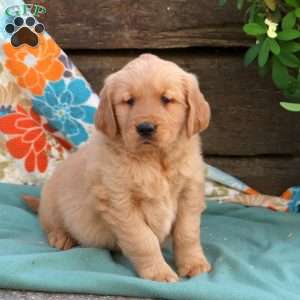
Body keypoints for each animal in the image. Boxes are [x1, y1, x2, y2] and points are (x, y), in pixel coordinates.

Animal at [23, 53, 211, 282]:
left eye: (166, 99)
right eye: (128, 101)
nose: (145, 128)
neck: (154, 160)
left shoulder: (189, 193)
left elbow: (187, 233)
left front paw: (193, 264)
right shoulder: (119, 202)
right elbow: (144, 240)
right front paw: (158, 272)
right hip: (52, 206)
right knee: (50, 225)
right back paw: (62, 236)